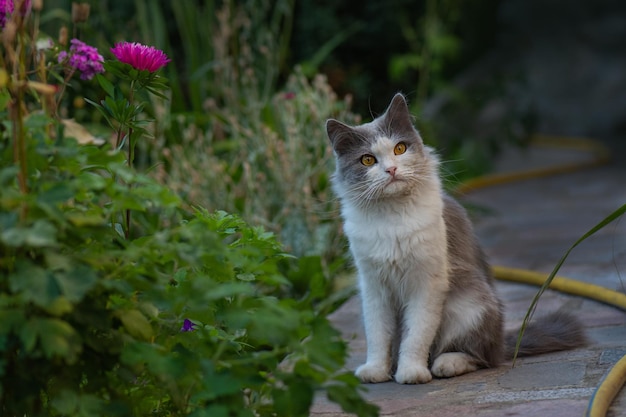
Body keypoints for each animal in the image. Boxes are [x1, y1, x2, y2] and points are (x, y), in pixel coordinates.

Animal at [324, 92, 584, 382]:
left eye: (399, 149)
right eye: (367, 160)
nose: (391, 170)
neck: (392, 218)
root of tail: (502, 342)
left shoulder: (427, 283)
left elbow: (416, 335)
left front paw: (411, 372)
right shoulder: (373, 286)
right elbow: (378, 335)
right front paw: (376, 371)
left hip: (471, 306)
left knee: (481, 357)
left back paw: (446, 364)